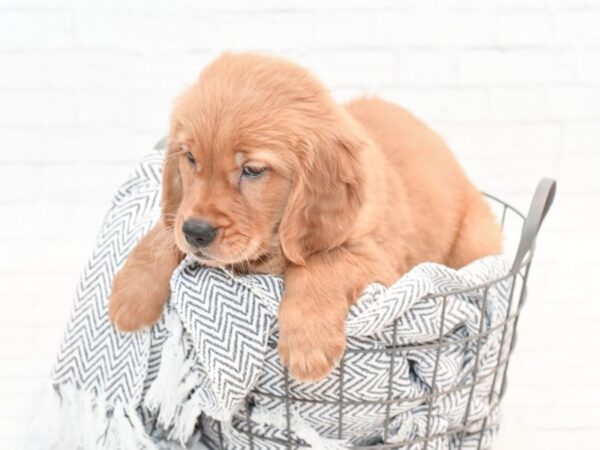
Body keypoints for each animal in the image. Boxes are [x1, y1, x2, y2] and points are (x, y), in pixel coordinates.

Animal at [109, 53, 502, 384]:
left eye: (252, 170)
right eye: (190, 158)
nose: (197, 233)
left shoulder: (383, 265)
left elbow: (321, 261)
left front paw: (307, 345)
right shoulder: (180, 217)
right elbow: (163, 232)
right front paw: (130, 295)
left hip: (475, 240)